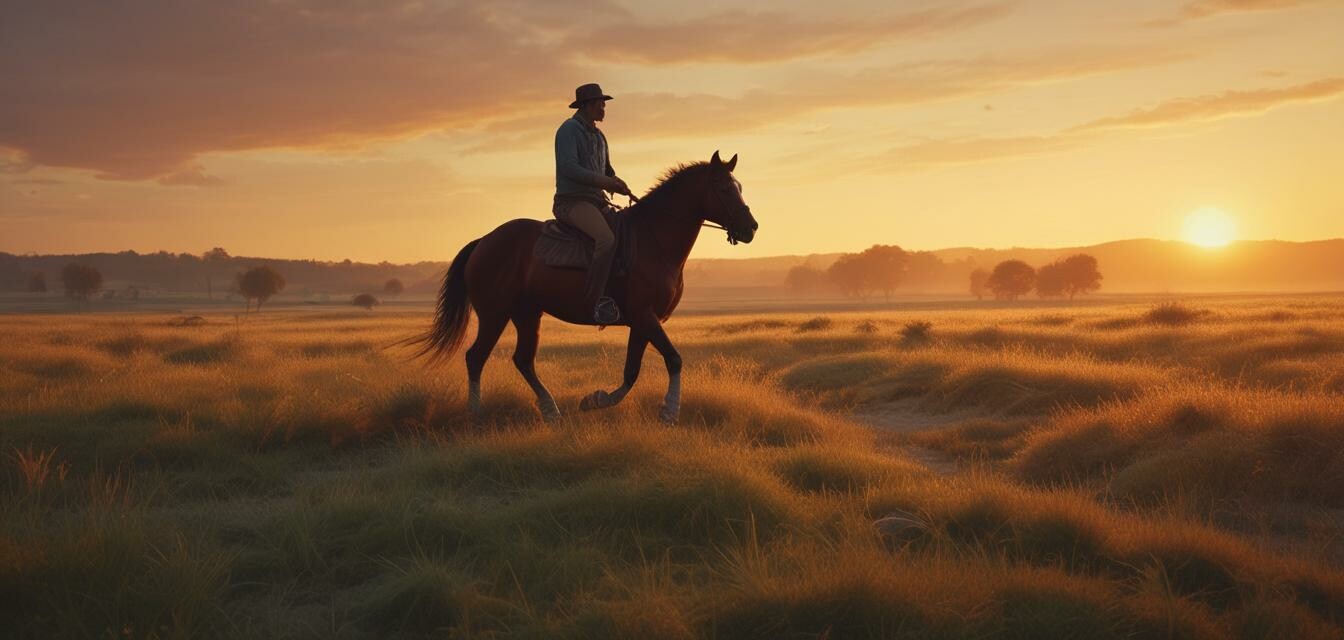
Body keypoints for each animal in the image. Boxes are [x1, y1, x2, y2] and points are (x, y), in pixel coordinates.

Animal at [411, 151, 758, 424]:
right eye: (724, 188)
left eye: (740, 187)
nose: (751, 228)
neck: (654, 240)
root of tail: (484, 241)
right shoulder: (645, 316)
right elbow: (673, 359)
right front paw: (670, 412)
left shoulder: (642, 321)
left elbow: (631, 371)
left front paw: (595, 400)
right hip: (495, 315)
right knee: (476, 357)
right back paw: (476, 414)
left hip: (527, 315)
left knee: (523, 360)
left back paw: (551, 412)